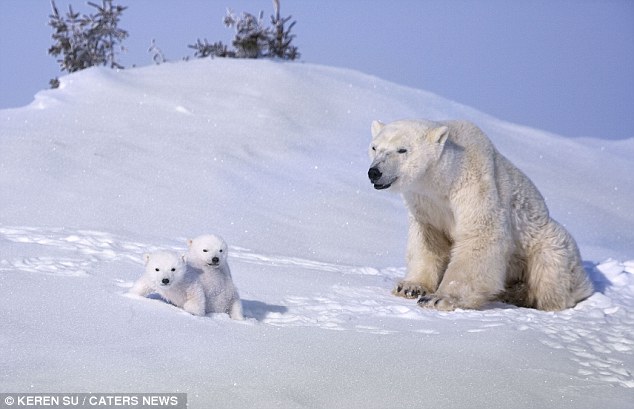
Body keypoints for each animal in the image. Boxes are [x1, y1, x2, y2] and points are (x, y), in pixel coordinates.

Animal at [366, 118, 592, 310]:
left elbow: (481, 235)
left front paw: (438, 298)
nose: (374, 172)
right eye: (375, 147)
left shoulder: (474, 185)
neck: (443, 182)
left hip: (544, 243)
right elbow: (429, 240)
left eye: (402, 150)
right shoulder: (425, 203)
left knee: (551, 271)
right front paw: (409, 287)